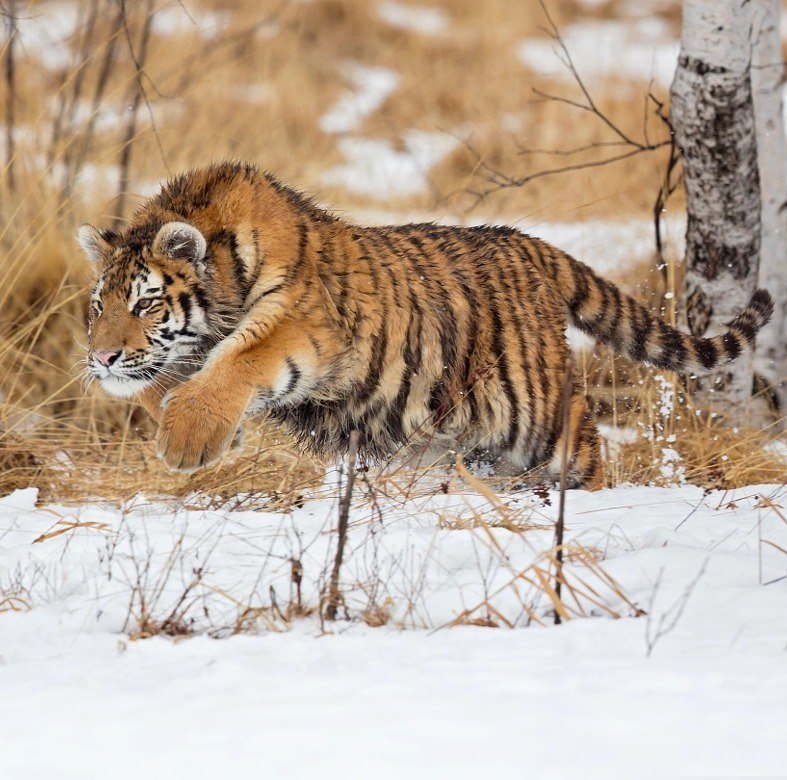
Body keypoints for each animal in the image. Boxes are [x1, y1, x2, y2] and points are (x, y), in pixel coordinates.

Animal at [80, 159, 776, 488]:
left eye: (145, 304)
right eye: (98, 308)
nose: (102, 358)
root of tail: (532, 244)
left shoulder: (303, 324)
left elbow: (242, 357)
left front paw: (186, 441)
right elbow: (171, 380)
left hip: (539, 416)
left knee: (588, 443)